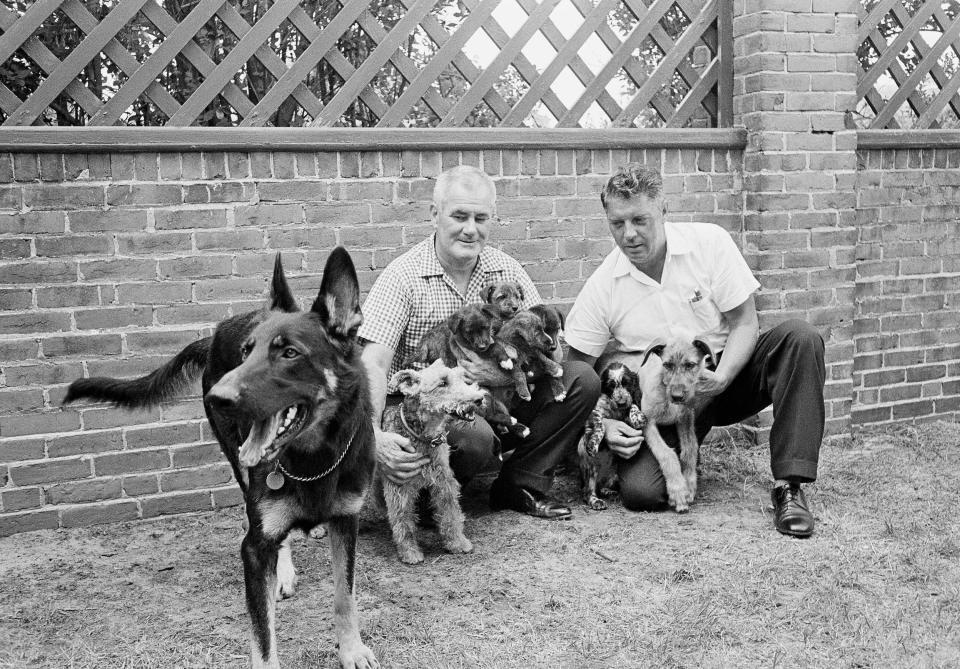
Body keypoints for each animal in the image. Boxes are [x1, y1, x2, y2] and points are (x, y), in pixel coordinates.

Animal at [576, 362, 644, 508]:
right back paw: (595, 501)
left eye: (627, 383)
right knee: (588, 491)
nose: (621, 403)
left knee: (602, 488)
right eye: (611, 385)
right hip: (591, 469)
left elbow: (633, 404)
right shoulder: (594, 411)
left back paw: (611, 493)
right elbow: (600, 425)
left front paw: (638, 417)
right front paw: (593, 444)